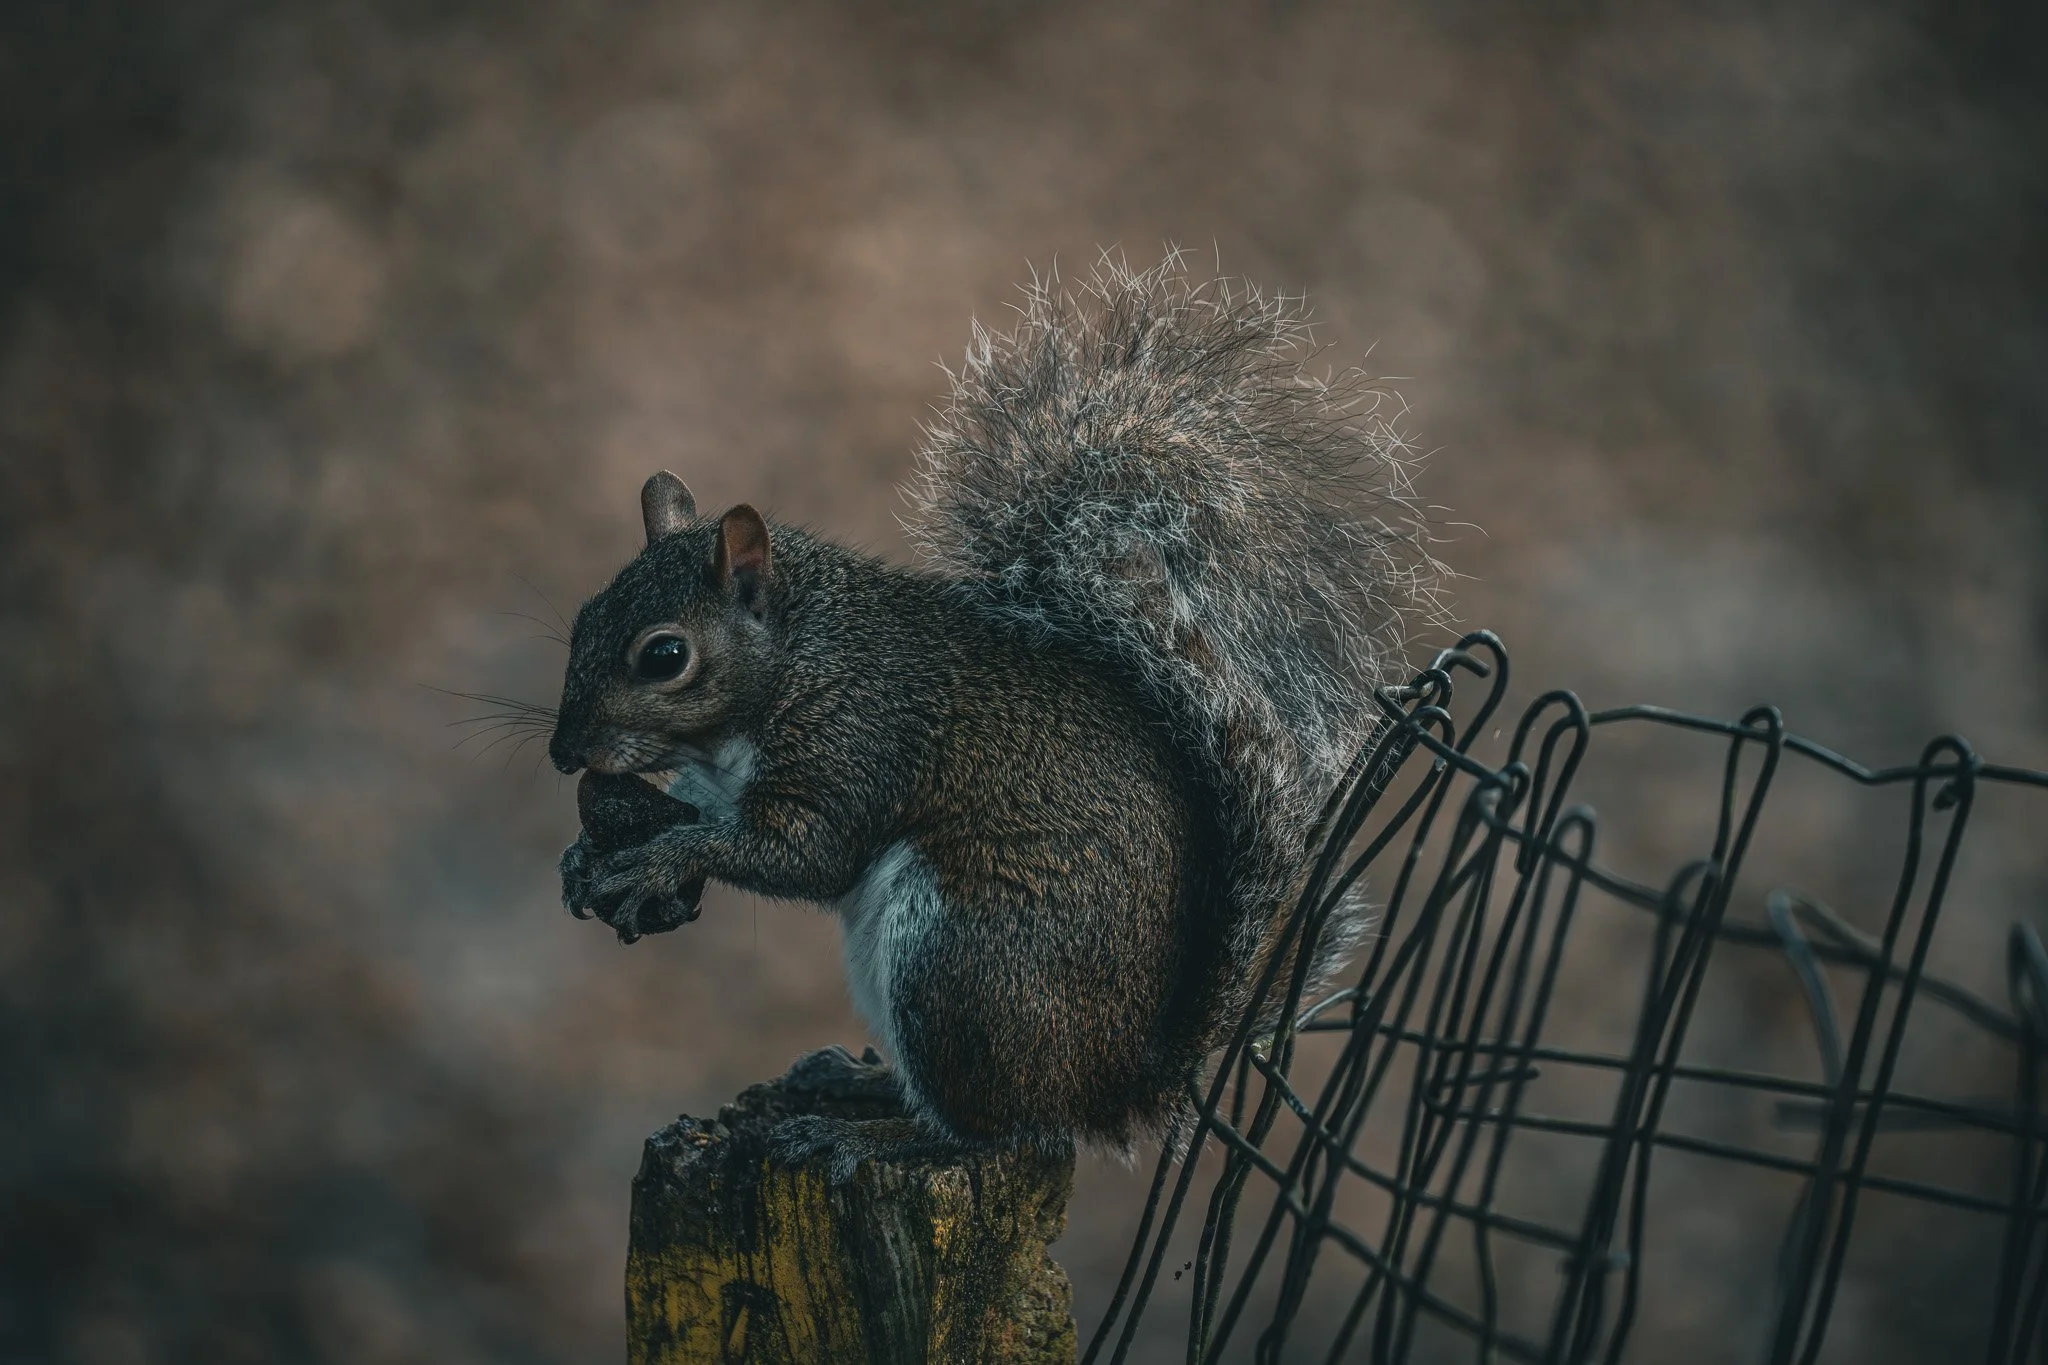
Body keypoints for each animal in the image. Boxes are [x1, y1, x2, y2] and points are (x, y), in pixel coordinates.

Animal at [548, 253, 1439, 1180]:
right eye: (583, 618)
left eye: (664, 655)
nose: (563, 752)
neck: (796, 663)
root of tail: (1111, 1084)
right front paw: (589, 854)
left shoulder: (857, 741)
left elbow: (805, 853)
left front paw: (660, 859)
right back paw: (856, 1080)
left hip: (962, 963)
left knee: (996, 1128)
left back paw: (861, 1131)